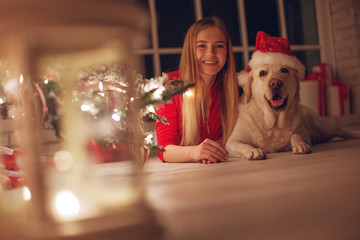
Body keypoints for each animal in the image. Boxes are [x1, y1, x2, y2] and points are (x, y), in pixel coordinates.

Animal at [225, 31, 358, 160]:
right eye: (262, 73)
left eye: (284, 70)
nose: (275, 83)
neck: (273, 123)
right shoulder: (232, 141)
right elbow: (243, 145)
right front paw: (253, 151)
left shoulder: (302, 130)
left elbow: (296, 134)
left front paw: (300, 144)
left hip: (324, 127)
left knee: (343, 130)